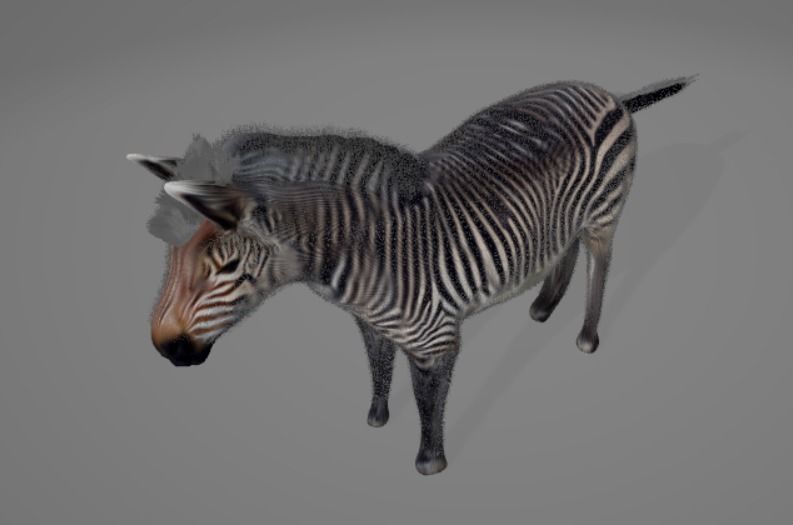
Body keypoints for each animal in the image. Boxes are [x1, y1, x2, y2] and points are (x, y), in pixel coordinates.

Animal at [129, 76, 695, 475]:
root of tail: (605, 91)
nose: (163, 347)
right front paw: (377, 418)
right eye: (169, 258)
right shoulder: (369, 322)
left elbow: (428, 398)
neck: (367, 250)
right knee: (565, 247)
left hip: (604, 215)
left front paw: (429, 462)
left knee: (600, 262)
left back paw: (587, 335)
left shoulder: (435, 338)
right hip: (564, 216)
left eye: (226, 267)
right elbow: (378, 365)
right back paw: (542, 306)